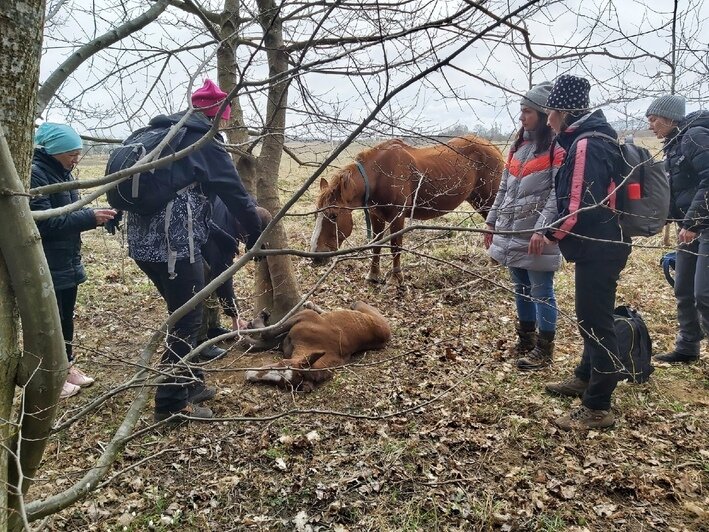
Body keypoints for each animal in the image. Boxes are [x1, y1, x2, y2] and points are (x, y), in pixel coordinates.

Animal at [243, 302, 388, 392]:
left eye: (281, 384)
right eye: (280, 363)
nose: (249, 374)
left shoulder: (304, 316)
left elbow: (266, 334)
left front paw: (252, 326)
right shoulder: (289, 335)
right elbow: (264, 339)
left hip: (364, 308)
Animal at [310, 135, 504, 284]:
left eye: (333, 215)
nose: (315, 256)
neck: (379, 176)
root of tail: (494, 148)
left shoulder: (398, 217)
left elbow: (395, 247)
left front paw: (396, 279)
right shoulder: (375, 216)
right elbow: (376, 245)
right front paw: (373, 275)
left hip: (488, 201)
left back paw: (494, 263)